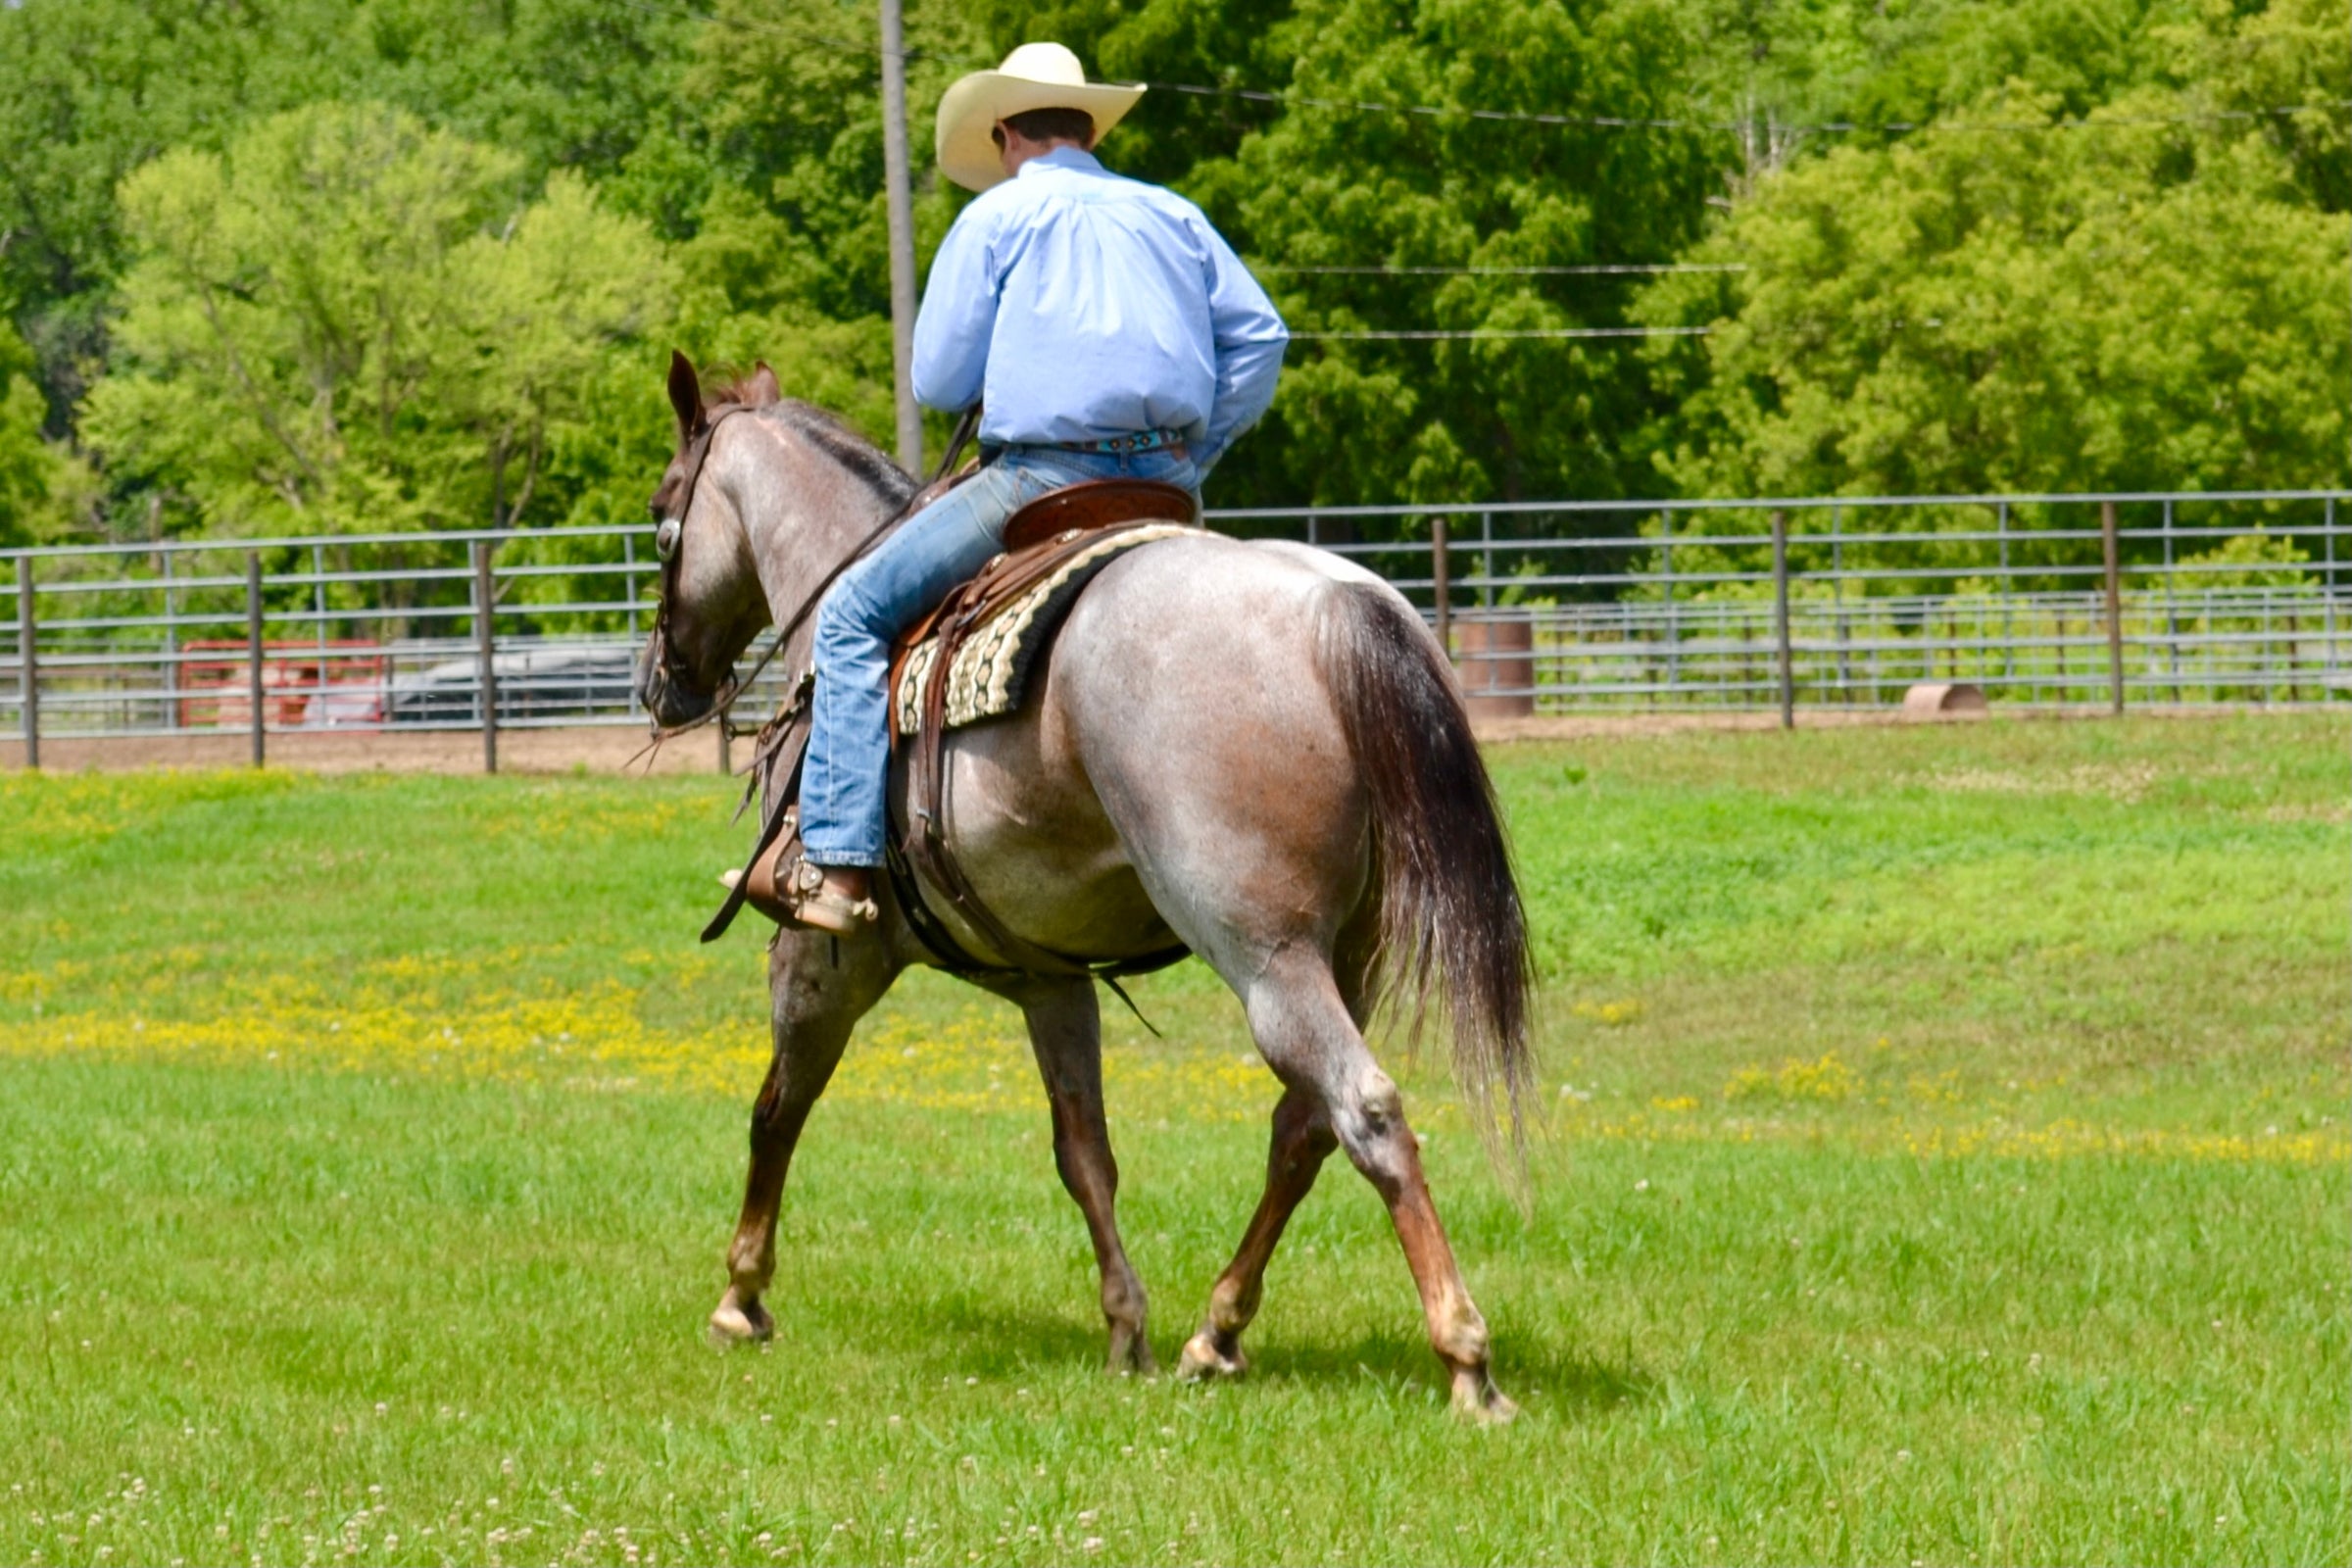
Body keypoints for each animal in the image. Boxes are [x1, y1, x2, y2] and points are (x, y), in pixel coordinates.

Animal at [635, 354, 1535, 1421]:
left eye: (662, 516)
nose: (660, 683)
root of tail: (1332, 607)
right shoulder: (1050, 978)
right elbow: (1085, 1152)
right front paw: (1125, 1327)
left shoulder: (826, 951)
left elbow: (779, 1105)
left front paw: (741, 1295)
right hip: (1351, 950)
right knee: (1303, 1126)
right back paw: (1215, 1332)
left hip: (1266, 955)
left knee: (1366, 1110)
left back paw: (1466, 1356)